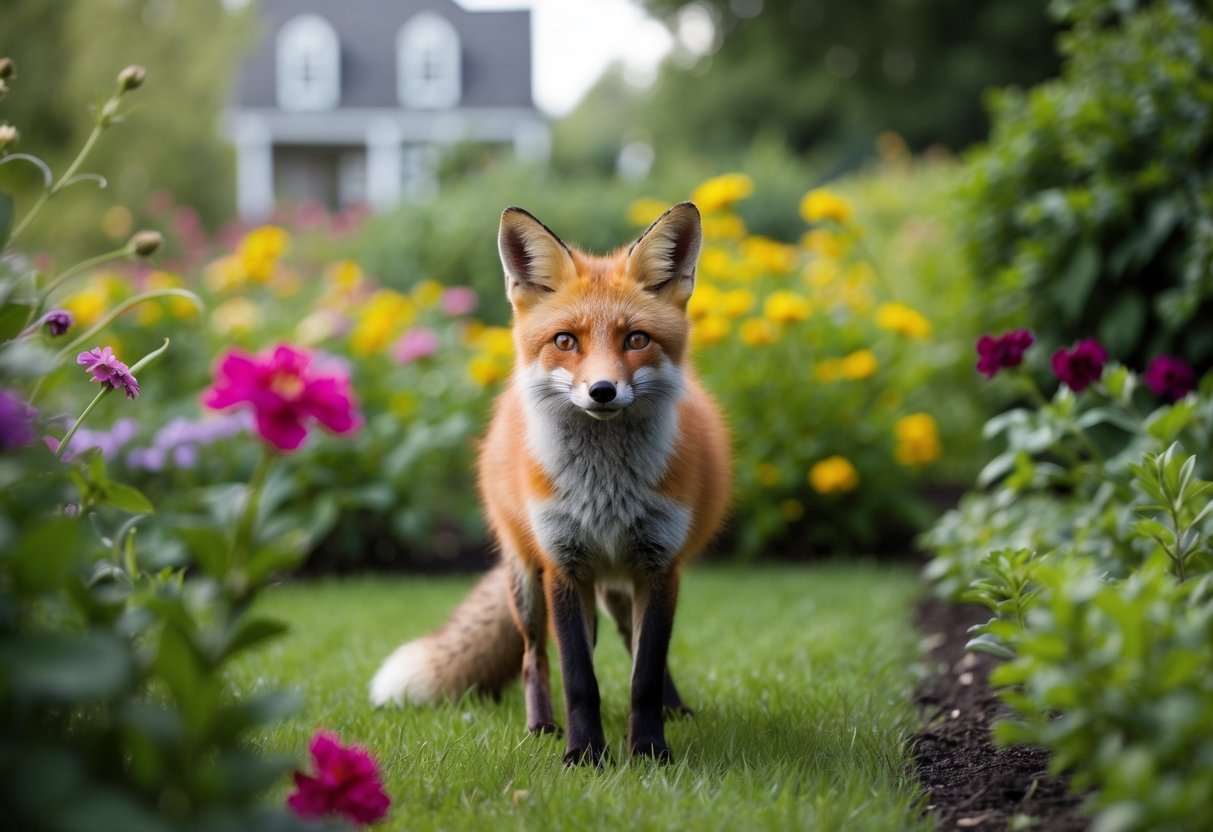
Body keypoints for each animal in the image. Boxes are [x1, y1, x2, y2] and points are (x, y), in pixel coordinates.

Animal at [369, 202, 731, 765]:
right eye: (566, 341)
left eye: (636, 339)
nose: (602, 391)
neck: (605, 492)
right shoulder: (563, 565)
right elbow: (579, 678)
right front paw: (584, 755)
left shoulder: (660, 566)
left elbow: (644, 675)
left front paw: (649, 750)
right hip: (527, 580)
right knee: (533, 658)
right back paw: (541, 725)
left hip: (620, 584)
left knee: (632, 646)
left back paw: (673, 711)